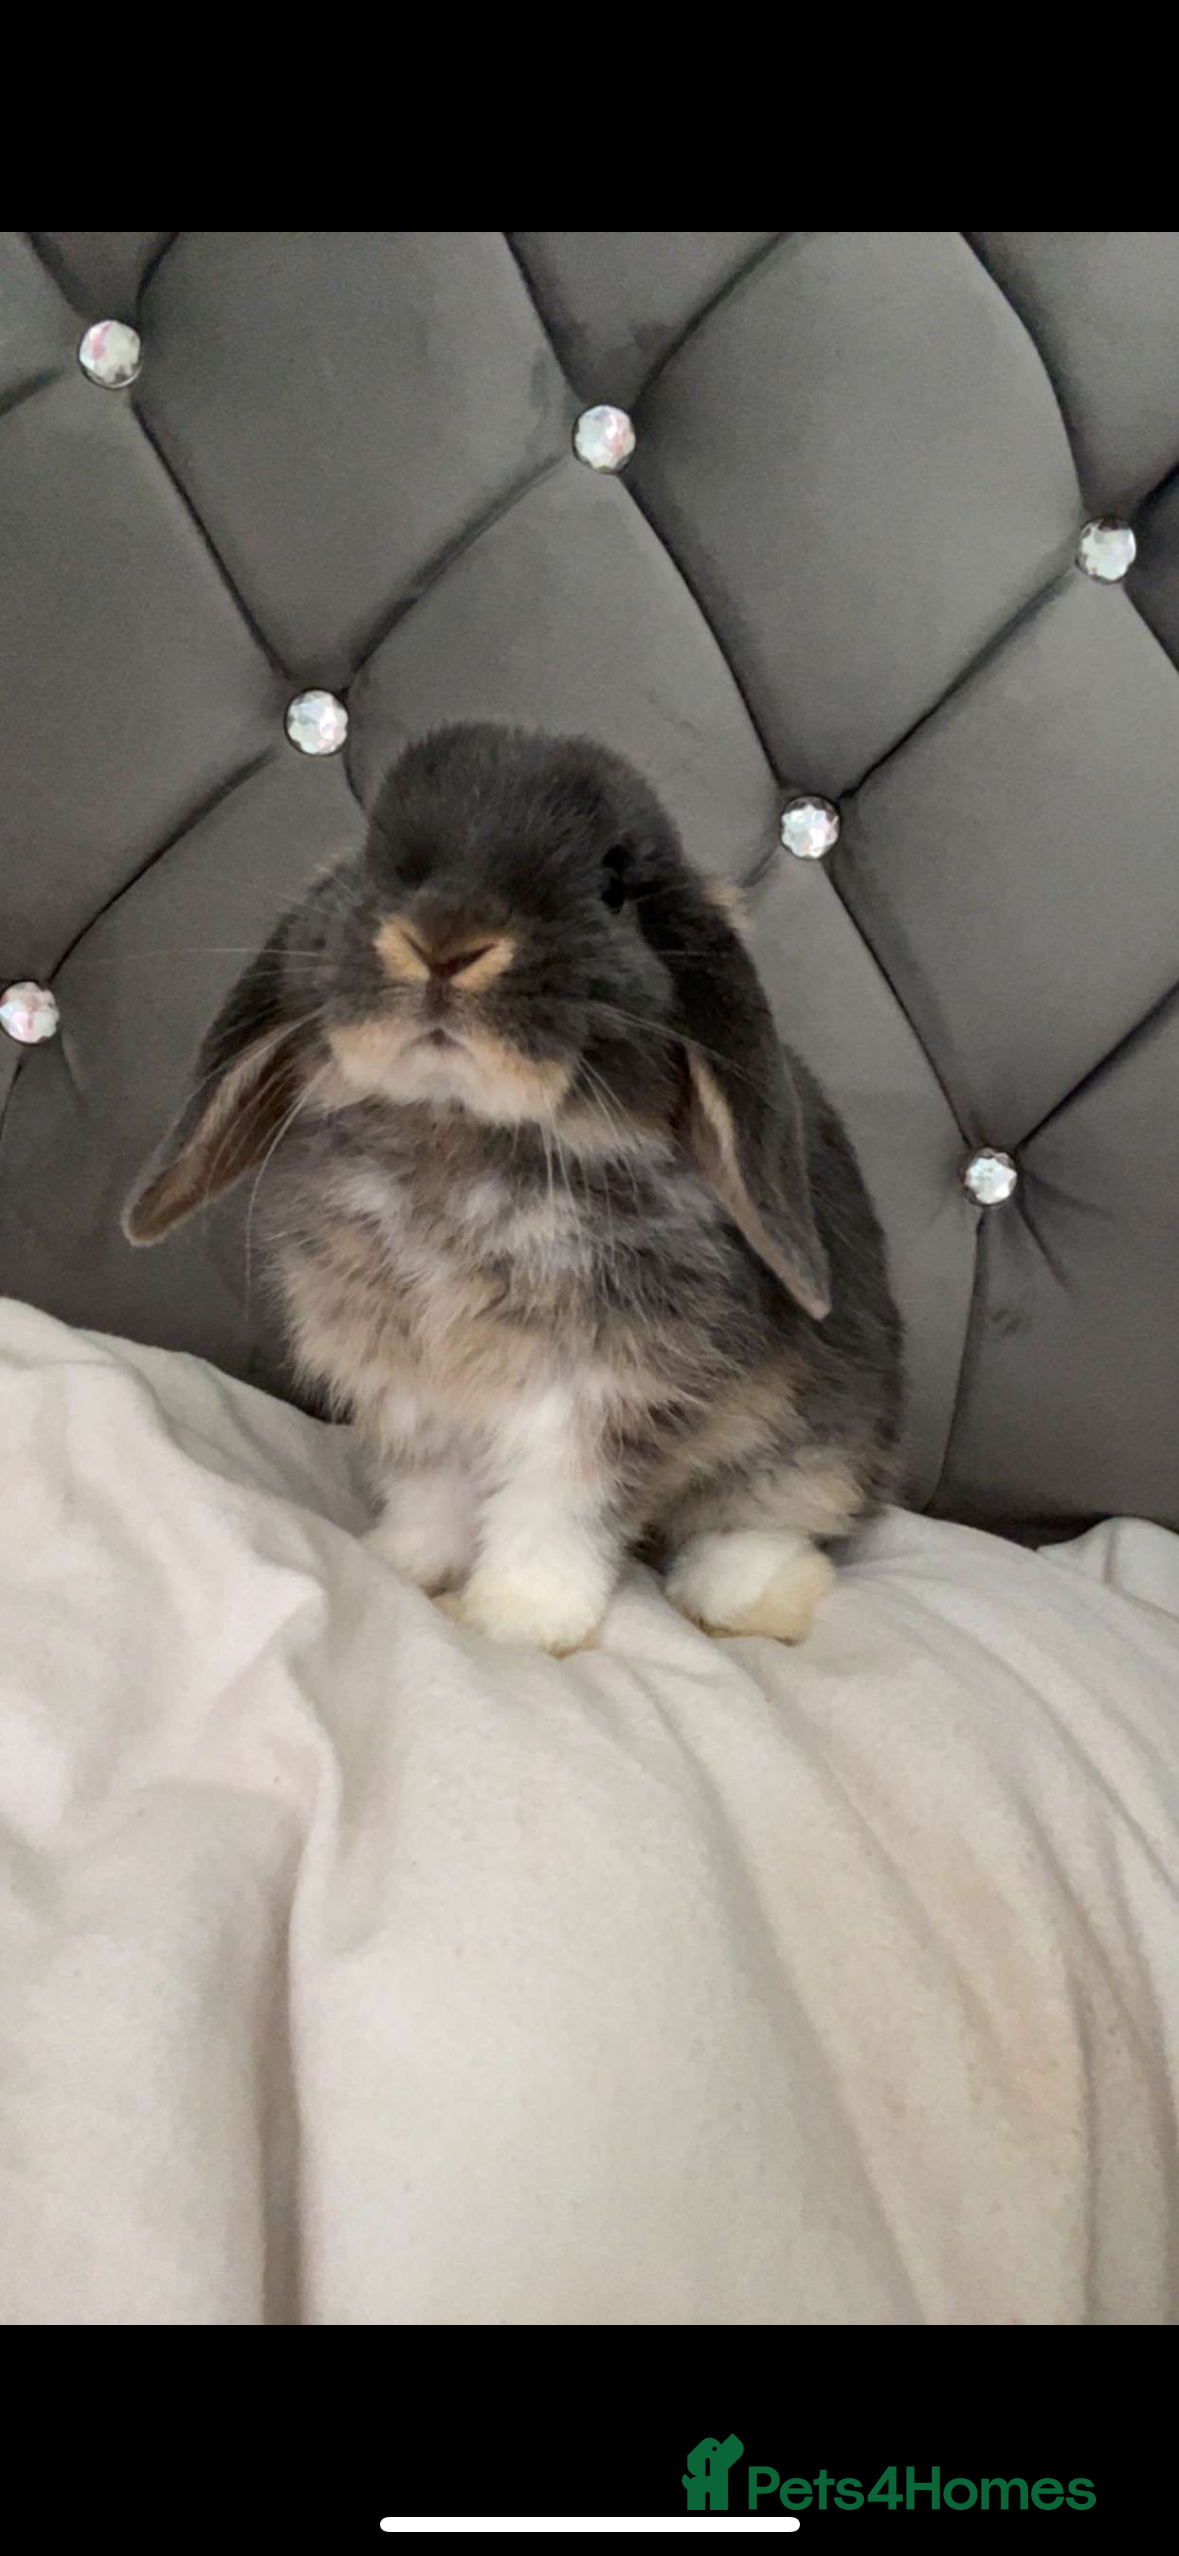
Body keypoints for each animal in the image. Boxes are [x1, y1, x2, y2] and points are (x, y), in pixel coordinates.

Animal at [124, 722, 904, 1655]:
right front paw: (402, 1565)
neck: (460, 1136)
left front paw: (516, 1621)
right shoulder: (410, 1385)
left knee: (787, 1516)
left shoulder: (595, 1393)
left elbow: (553, 1508)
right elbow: (431, 1491)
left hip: (818, 1432)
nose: (443, 939)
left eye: (612, 883)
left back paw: (741, 1593)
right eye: (376, 856)